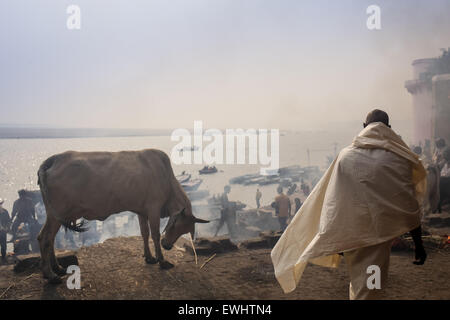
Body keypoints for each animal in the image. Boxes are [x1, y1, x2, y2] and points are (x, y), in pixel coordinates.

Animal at [37, 149, 209, 284]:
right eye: (175, 225)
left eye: (184, 231)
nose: (167, 245)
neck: (167, 179)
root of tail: (54, 159)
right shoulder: (153, 208)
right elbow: (155, 235)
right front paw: (162, 261)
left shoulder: (142, 211)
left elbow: (144, 233)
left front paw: (149, 257)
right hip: (57, 213)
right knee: (45, 238)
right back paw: (50, 275)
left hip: (53, 214)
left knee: (48, 239)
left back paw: (57, 268)